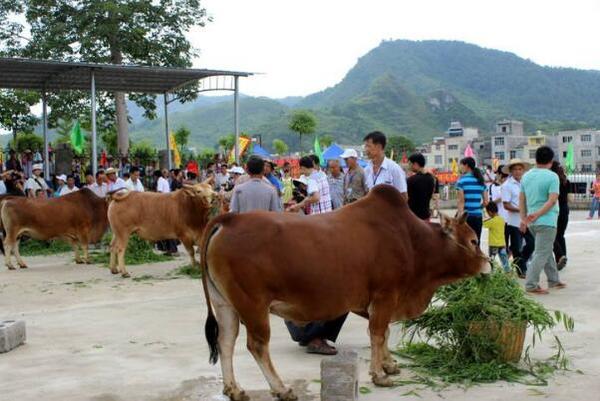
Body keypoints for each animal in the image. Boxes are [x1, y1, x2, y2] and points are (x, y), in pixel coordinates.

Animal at [199, 184, 490, 400]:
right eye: (473, 240)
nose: (488, 264)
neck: (413, 241)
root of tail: (229, 219)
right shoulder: (385, 296)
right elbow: (377, 333)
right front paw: (379, 374)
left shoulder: (384, 300)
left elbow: (384, 334)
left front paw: (389, 365)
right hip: (253, 305)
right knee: (256, 345)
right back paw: (281, 389)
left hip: (225, 304)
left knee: (225, 342)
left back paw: (234, 389)